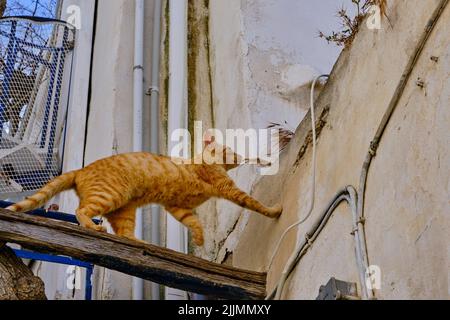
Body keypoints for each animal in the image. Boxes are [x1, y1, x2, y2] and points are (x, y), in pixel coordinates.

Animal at [6, 137, 282, 245]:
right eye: (229, 151)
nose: (239, 157)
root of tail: (81, 169)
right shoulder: (230, 191)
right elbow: (256, 204)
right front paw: (275, 210)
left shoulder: (177, 207)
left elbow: (194, 223)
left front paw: (199, 239)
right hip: (109, 196)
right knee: (81, 210)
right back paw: (93, 226)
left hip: (125, 210)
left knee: (125, 233)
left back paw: (140, 241)